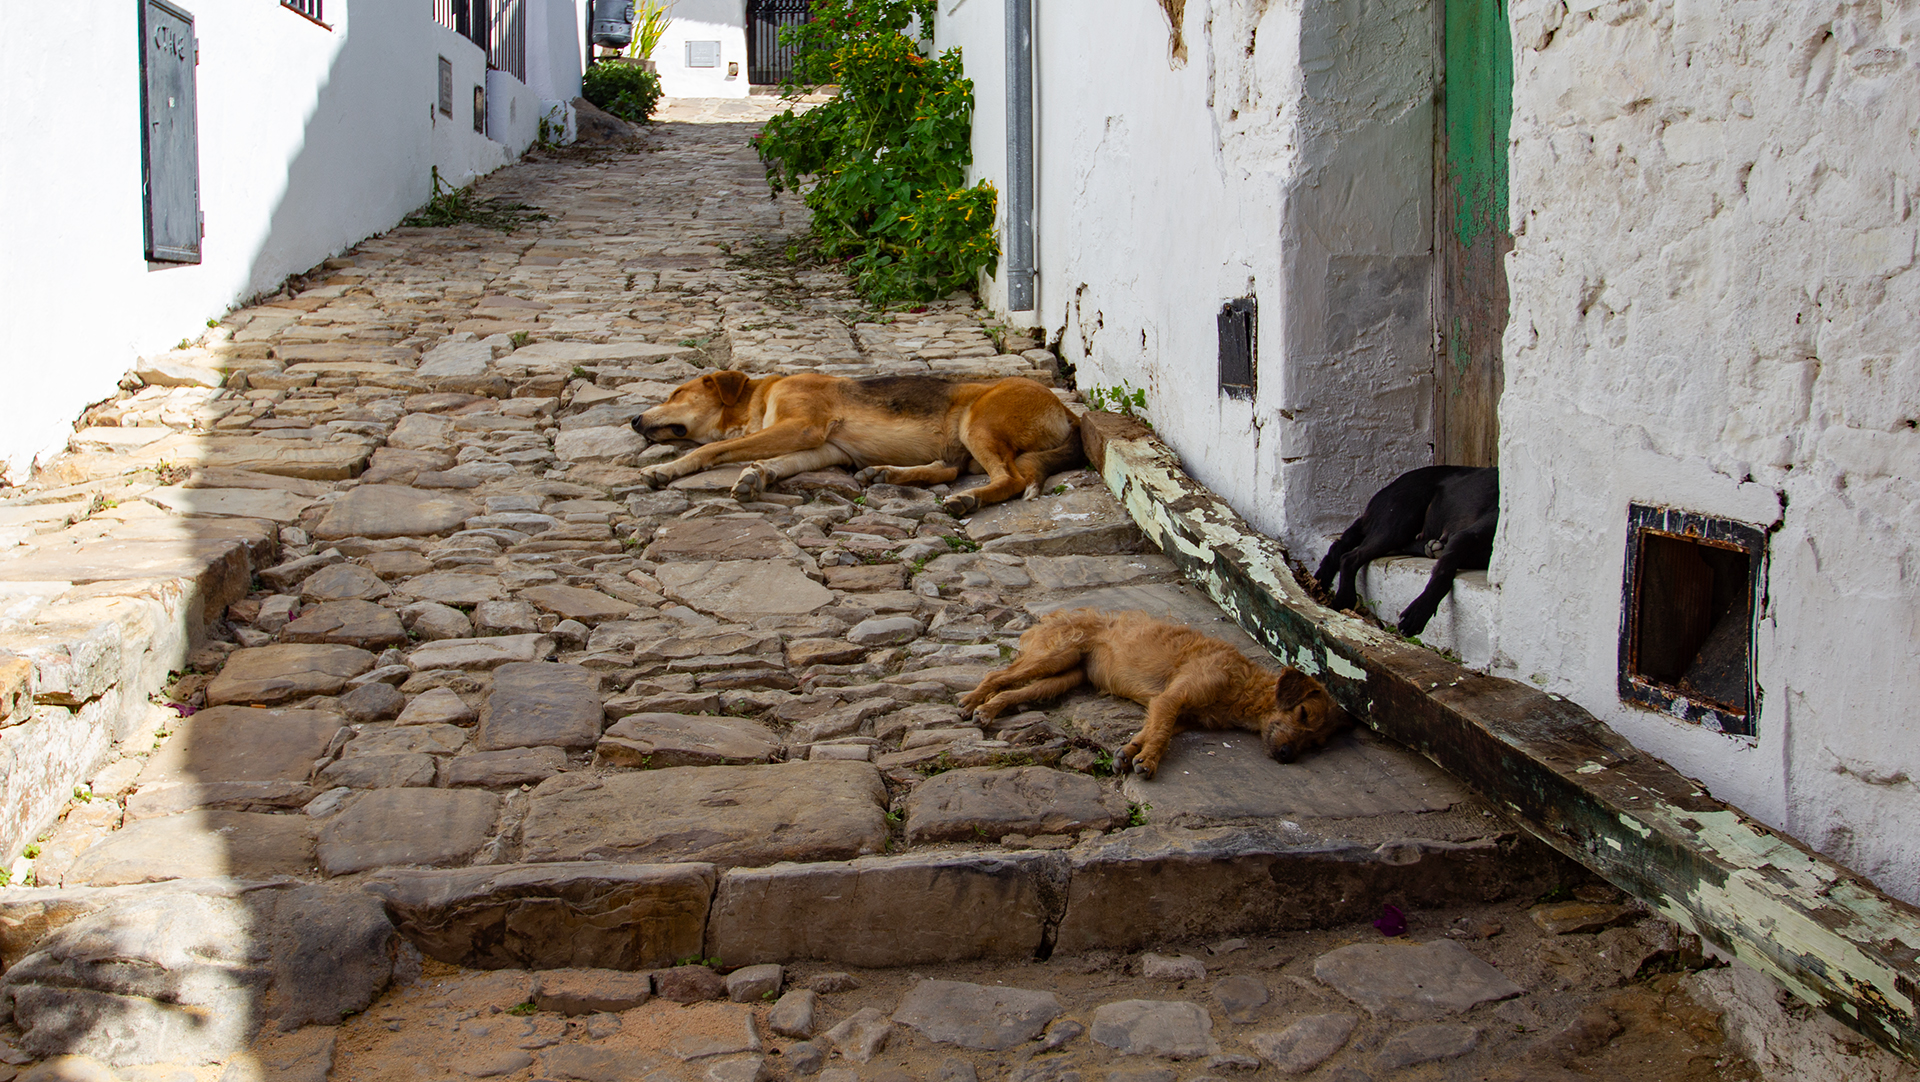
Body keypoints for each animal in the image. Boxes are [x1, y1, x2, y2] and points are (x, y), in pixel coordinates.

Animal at [629, 372, 1082, 514]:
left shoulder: (803, 426)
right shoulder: (824, 447)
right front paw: (756, 476)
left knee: (1009, 478)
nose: (633, 419)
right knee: (947, 470)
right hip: (962, 445)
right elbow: (779, 463)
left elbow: (708, 449)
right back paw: (886, 473)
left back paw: (968, 500)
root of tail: (1068, 411)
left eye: (675, 393)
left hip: (979, 423)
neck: (760, 397)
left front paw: (663, 469)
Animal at [960, 610, 1351, 778]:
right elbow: (1161, 735)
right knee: (998, 674)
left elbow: (1152, 730)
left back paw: (989, 710)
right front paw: (1148, 762)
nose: (1286, 756)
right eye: (1302, 713)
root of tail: (1045, 619)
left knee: (1014, 690)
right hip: (1054, 656)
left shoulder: (1176, 713)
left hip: (1063, 678)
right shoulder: (1172, 699)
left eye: (1315, 743)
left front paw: (1130, 753)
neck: (1243, 687)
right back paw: (971, 701)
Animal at [1320, 464, 1497, 633]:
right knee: (1349, 558)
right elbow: (1443, 573)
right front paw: (1418, 613)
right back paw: (1344, 598)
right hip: (1397, 525)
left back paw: (1430, 546)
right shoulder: (1464, 537)